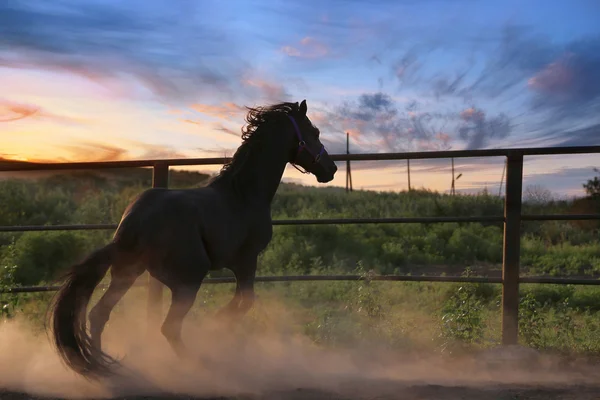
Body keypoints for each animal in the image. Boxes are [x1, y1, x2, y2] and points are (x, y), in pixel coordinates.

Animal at [47, 99, 338, 378]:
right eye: (314, 132)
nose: (331, 168)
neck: (242, 195)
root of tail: (133, 226)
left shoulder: (239, 265)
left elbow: (241, 302)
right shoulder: (246, 261)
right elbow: (244, 303)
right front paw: (218, 325)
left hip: (127, 274)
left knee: (99, 314)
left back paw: (104, 366)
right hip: (187, 282)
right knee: (169, 327)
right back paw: (196, 362)